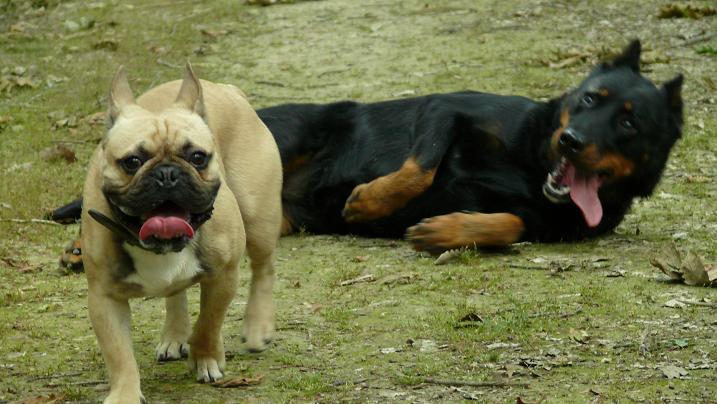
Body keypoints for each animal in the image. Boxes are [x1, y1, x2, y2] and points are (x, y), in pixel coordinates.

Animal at [51, 39, 684, 264]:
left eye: (628, 121)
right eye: (589, 98)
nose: (572, 142)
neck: (531, 163)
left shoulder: (541, 222)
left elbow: (506, 222)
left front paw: (446, 230)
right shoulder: (447, 109)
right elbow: (420, 166)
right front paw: (368, 203)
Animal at [79, 64, 280, 402]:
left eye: (197, 157)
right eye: (132, 161)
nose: (167, 174)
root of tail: (227, 89)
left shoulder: (224, 276)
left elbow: (209, 322)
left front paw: (206, 358)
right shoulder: (104, 298)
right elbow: (118, 353)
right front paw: (125, 392)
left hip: (258, 216)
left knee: (263, 266)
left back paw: (257, 327)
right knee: (176, 293)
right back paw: (175, 334)